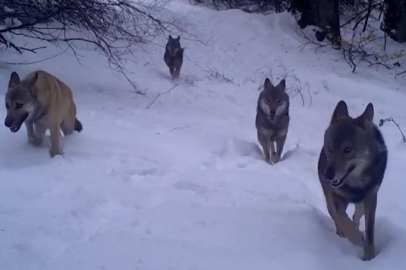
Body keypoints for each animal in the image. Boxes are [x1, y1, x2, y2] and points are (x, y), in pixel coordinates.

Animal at [318, 100, 386, 260]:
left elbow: (369, 233)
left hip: (362, 204)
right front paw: (356, 237)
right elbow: (342, 219)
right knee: (338, 218)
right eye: (329, 148)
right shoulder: (336, 198)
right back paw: (343, 234)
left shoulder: (371, 198)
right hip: (329, 201)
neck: (356, 183)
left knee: (356, 216)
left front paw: (370, 257)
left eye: (347, 150)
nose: (328, 174)